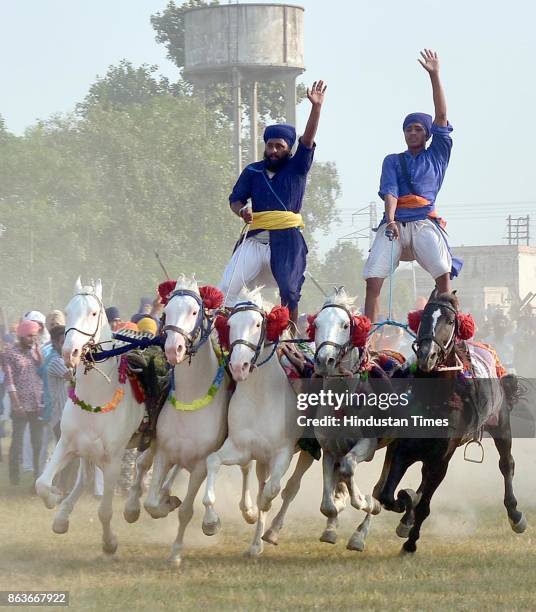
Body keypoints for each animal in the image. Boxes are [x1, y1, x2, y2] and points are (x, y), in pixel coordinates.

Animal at [35, 280, 146, 556]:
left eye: (94, 313)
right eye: (67, 310)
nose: (69, 351)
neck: (96, 397)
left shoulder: (113, 459)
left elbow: (105, 511)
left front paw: (110, 542)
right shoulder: (67, 443)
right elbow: (41, 483)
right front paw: (54, 499)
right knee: (85, 478)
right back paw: (62, 517)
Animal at [143, 274, 256, 568]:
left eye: (194, 312)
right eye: (166, 312)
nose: (174, 349)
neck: (190, 398)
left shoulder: (199, 465)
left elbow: (186, 510)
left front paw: (176, 553)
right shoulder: (165, 452)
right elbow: (152, 502)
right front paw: (164, 503)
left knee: (246, 469)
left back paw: (248, 510)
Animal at [204, 290, 316, 556]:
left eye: (257, 324)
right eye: (230, 325)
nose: (238, 366)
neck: (260, 397)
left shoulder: (283, 452)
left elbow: (271, 491)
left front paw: (261, 509)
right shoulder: (240, 447)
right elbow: (213, 461)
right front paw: (211, 522)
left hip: (306, 452)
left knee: (291, 488)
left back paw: (271, 532)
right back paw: (255, 538)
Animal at [372, 290, 528, 552]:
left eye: (450, 320)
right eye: (424, 316)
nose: (427, 355)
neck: (434, 403)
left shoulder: (441, 458)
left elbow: (424, 504)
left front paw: (411, 542)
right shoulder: (404, 449)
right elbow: (387, 495)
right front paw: (406, 504)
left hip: (501, 423)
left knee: (506, 464)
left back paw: (515, 515)